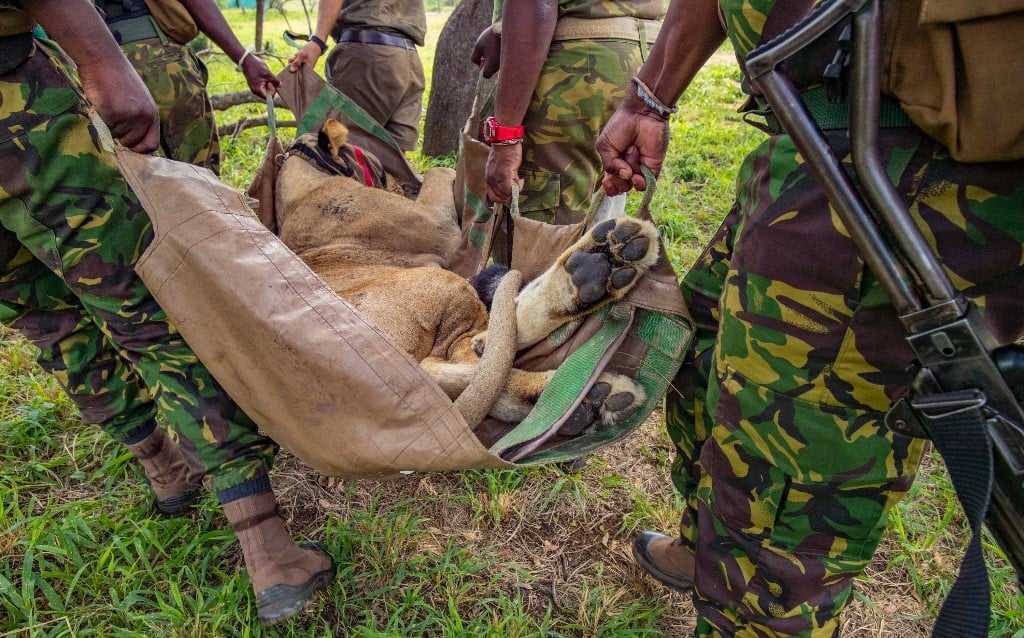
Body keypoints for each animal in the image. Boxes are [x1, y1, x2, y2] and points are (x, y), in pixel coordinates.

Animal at [276, 119, 663, 434]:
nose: (398, 183)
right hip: (443, 285)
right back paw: (597, 267)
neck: (301, 186)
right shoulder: (441, 228)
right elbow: (439, 172)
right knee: (482, 347)